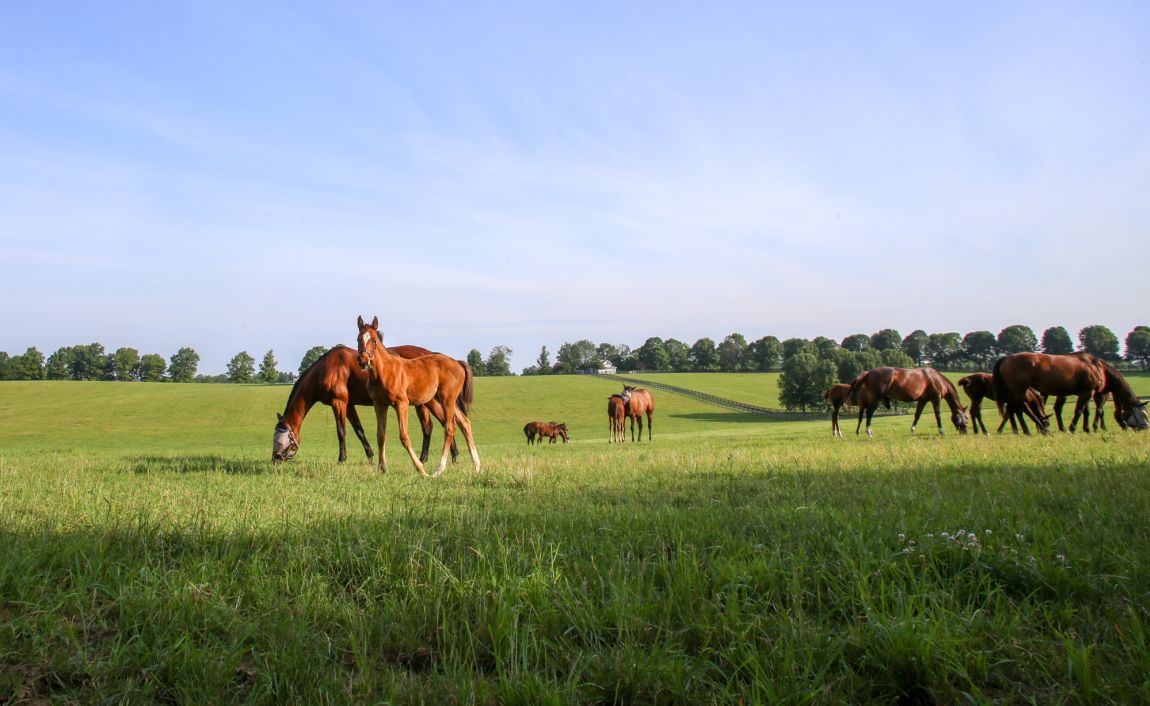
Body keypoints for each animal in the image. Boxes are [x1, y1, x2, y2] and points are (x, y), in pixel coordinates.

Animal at [272, 344, 463, 463]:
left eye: (280, 440)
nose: (275, 459)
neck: (327, 369)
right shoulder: (349, 405)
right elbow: (359, 430)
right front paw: (370, 456)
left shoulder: (338, 403)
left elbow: (341, 432)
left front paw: (341, 459)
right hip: (422, 403)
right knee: (431, 425)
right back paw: (429, 458)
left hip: (430, 401)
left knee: (444, 422)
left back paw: (451, 456)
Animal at [356, 316, 480, 476]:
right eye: (358, 339)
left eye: (373, 340)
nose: (362, 361)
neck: (384, 372)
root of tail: (458, 363)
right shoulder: (380, 405)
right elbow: (381, 435)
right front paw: (382, 469)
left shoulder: (401, 403)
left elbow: (404, 436)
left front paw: (421, 470)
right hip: (443, 400)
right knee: (464, 423)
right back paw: (476, 466)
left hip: (447, 400)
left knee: (449, 428)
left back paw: (438, 470)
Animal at [993, 352, 1148, 434]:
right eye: (1143, 414)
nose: (1146, 427)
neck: (1097, 367)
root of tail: (1006, 358)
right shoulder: (1089, 391)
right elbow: (1079, 411)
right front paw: (1073, 428)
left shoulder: (1086, 392)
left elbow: (1086, 411)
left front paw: (1086, 428)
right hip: (1019, 389)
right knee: (1021, 408)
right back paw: (1036, 429)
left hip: (1015, 391)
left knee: (1015, 409)